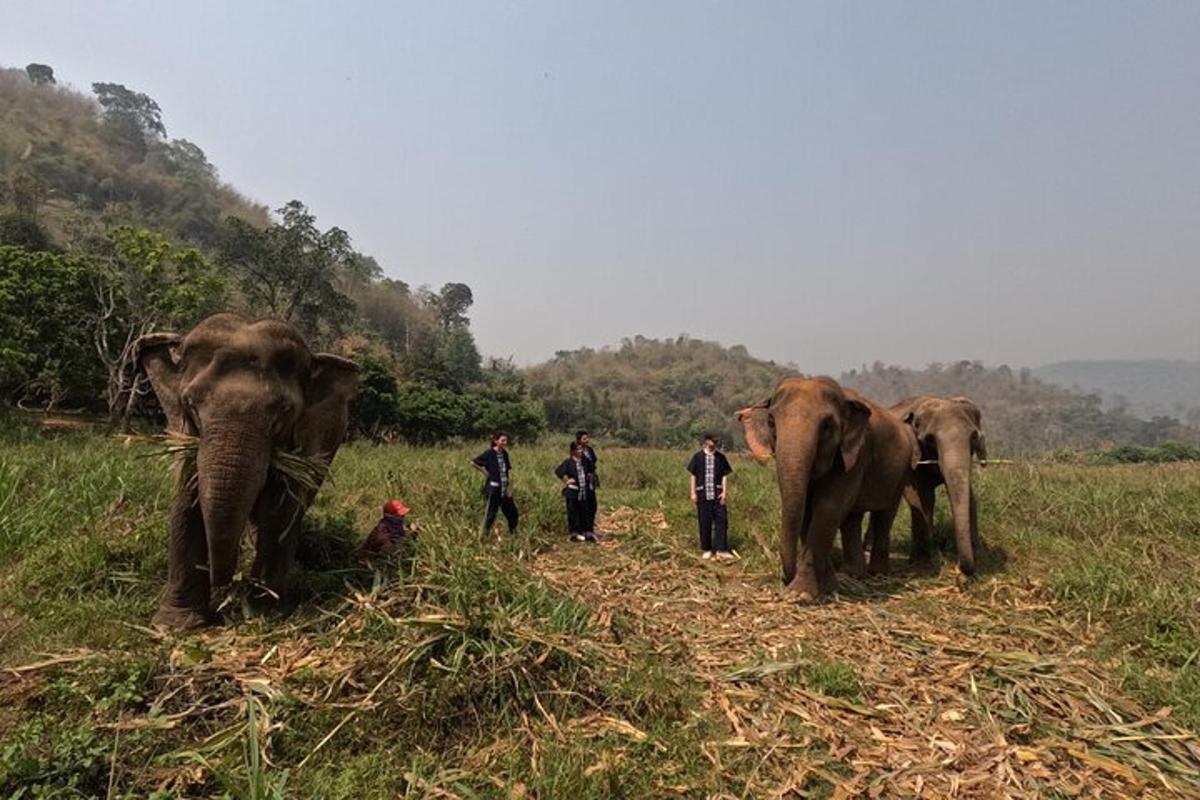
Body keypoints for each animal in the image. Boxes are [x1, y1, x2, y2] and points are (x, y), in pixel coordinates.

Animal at [136, 311, 357, 633]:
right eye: (191, 403)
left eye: (283, 412)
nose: (224, 584)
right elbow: (186, 499)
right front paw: (175, 626)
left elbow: (280, 510)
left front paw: (263, 614)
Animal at [729, 376, 916, 599]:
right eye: (772, 422)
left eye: (827, 426)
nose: (786, 579)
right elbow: (809, 510)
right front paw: (827, 587)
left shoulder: (856, 455)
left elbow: (828, 507)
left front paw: (801, 594)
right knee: (852, 519)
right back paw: (854, 574)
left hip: (902, 472)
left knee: (885, 515)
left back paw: (877, 573)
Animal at [888, 395, 988, 575]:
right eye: (930, 439)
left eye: (974, 437)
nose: (959, 567)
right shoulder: (913, 458)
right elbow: (923, 497)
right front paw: (923, 563)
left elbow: (969, 498)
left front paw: (980, 558)